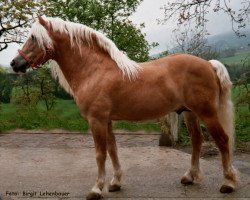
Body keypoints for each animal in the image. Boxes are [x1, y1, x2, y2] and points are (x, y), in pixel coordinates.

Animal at [10, 16, 237, 200]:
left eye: (34, 38)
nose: (14, 63)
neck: (94, 70)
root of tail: (209, 64)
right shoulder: (107, 120)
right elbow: (112, 150)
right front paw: (115, 183)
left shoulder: (96, 120)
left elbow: (100, 154)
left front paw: (96, 189)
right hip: (190, 113)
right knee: (197, 141)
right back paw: (190, 177)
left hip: (207, 113)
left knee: (222, 140)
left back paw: (228, 183)